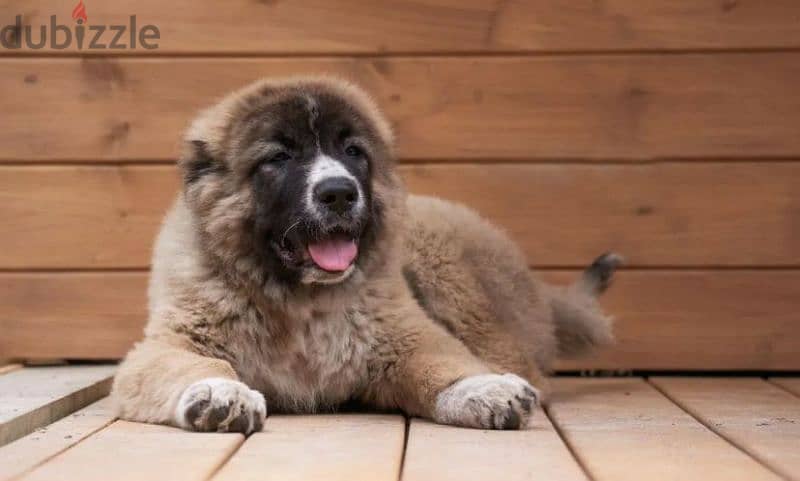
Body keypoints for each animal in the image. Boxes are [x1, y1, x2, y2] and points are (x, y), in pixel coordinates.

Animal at [111, 76, 620, 432]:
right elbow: (191, 363)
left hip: (441, 261)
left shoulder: (404, 334)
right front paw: (220, 393)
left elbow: (445, 360)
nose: (338, 192)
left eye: (353, 151)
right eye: (277, 158)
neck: (300, 305)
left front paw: (484, 388)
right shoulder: (169, 344)